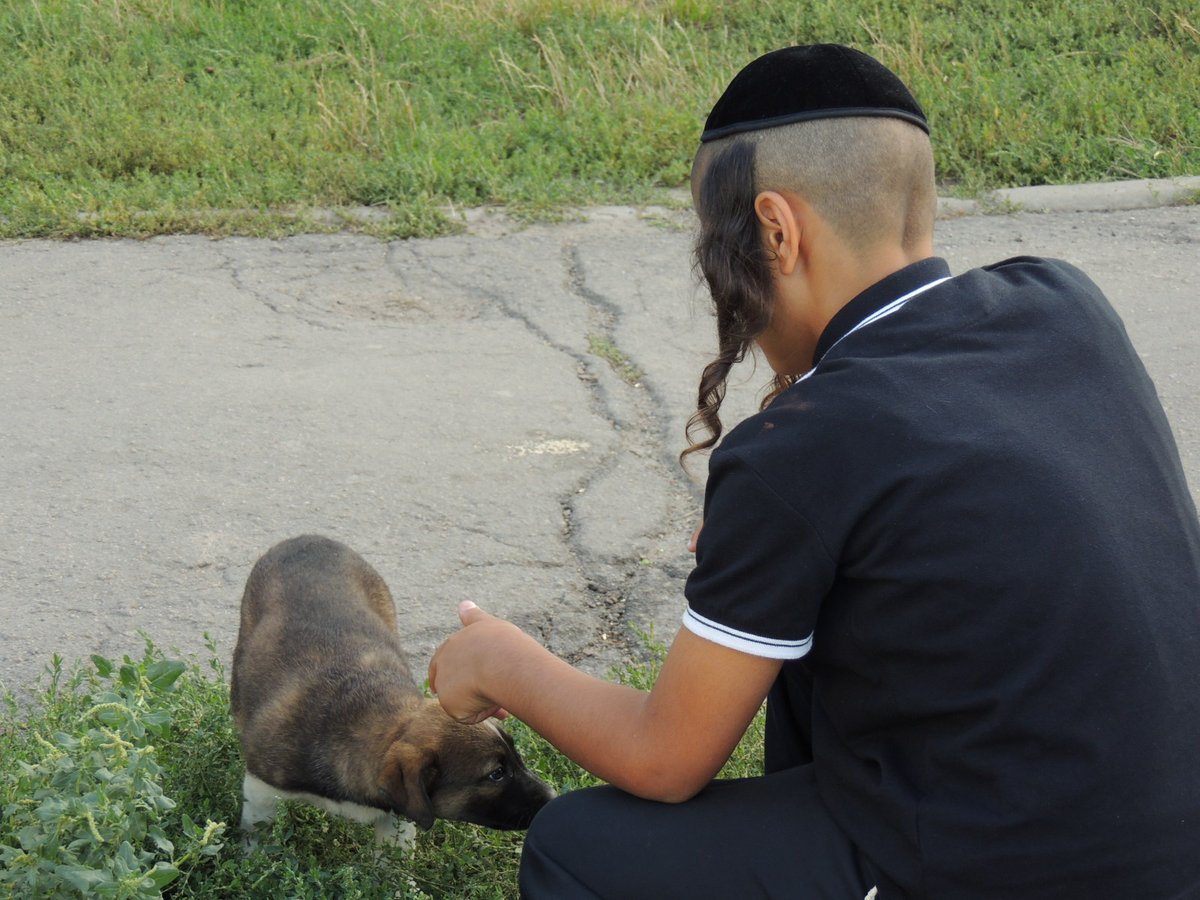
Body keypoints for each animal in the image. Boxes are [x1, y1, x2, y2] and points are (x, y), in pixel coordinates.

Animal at [230, 532, 556, 849]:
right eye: (496, 774)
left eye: (516, 755)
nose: (552, 796)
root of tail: (308, 537)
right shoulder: (260, 787)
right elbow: (259, 832)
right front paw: (257, 857)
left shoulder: (400, 815)